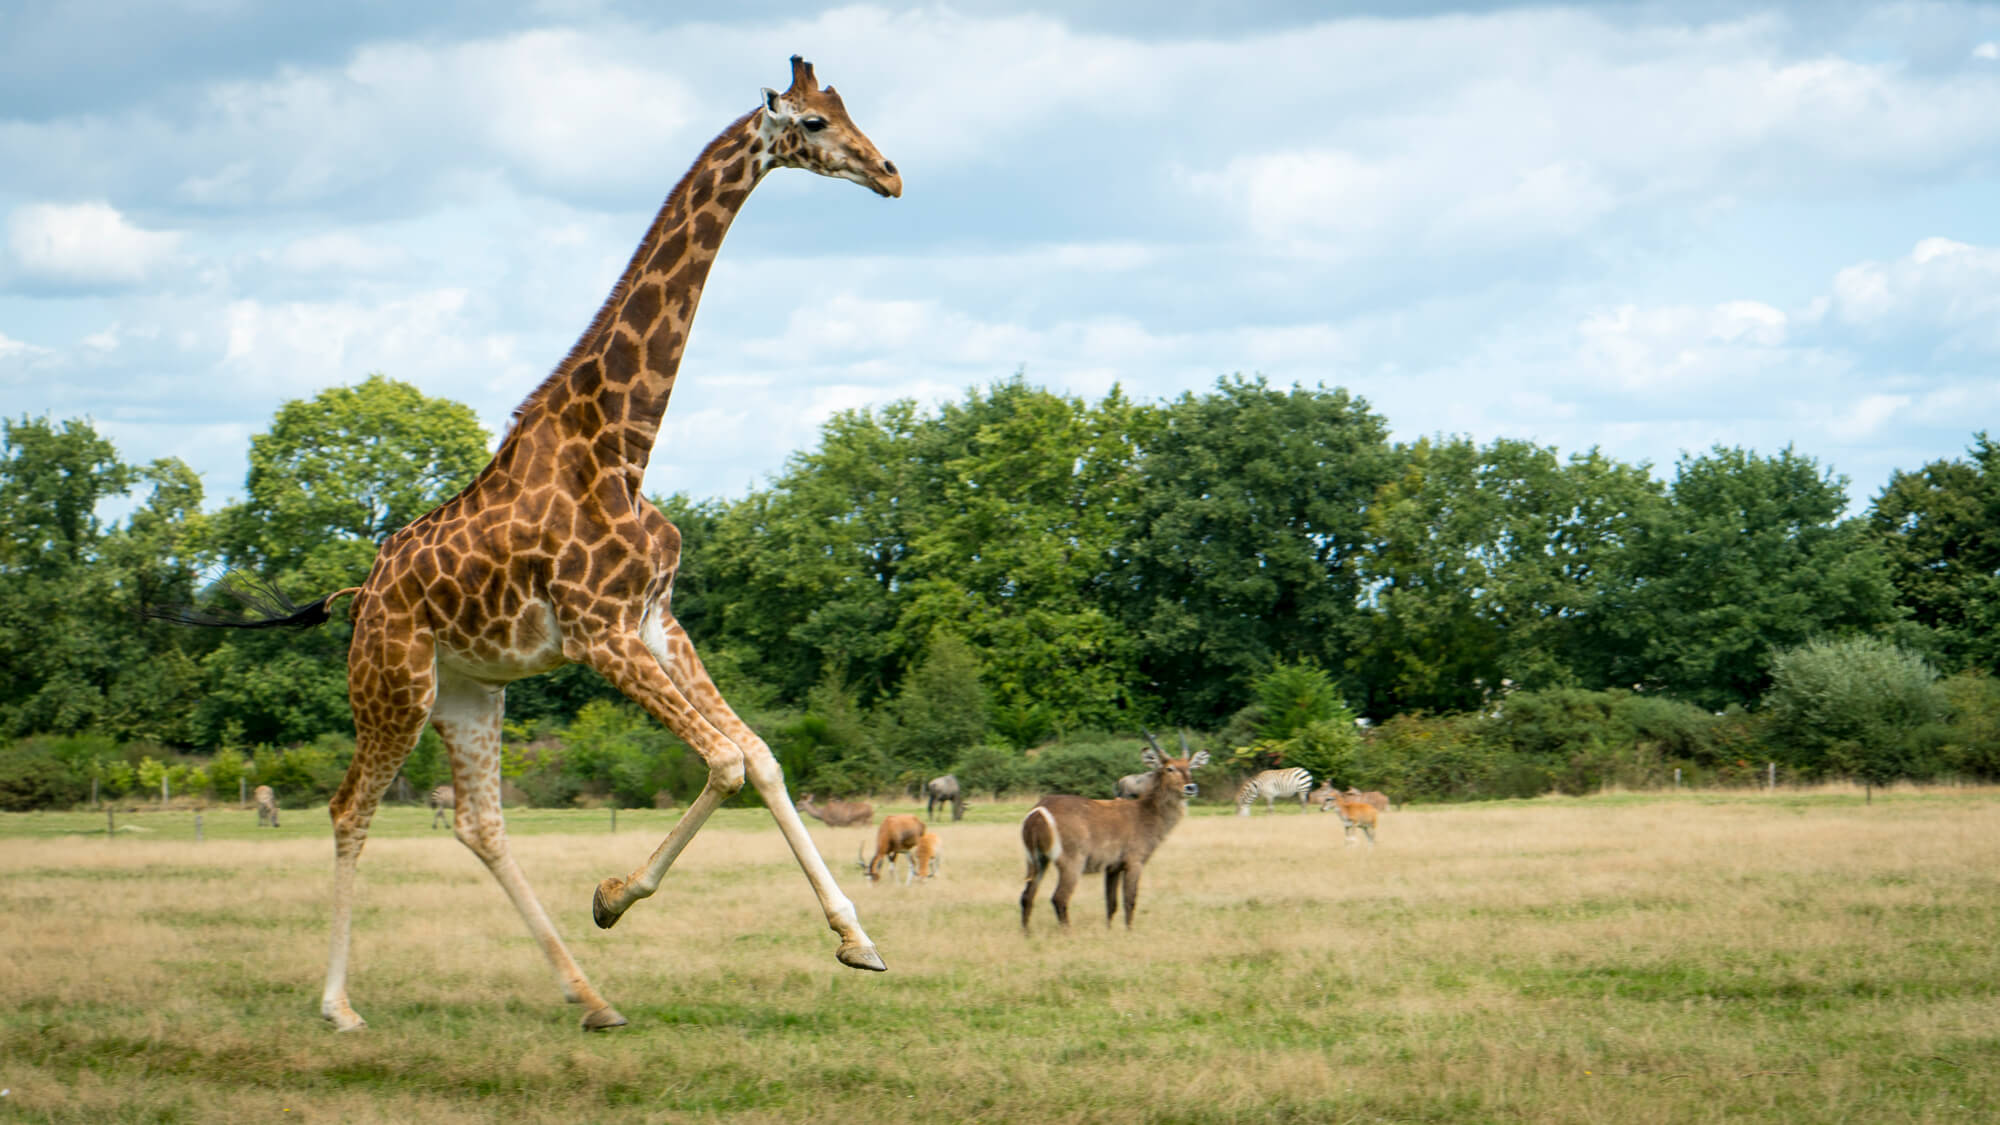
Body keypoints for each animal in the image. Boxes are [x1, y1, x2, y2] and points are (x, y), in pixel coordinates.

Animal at [174, 57, 908, 1032]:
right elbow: (724, 761)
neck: (622, 442)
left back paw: (590, 996)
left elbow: (759, 757)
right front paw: (613, 895)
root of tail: (358, 598)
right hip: (395, 687)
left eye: (846, 107)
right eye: (817, 124)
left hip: (469, 692)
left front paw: (857, 939)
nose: (891, 173)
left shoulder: (655, 620)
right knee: (347, 807)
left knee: (478, 823)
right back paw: (338, 1005)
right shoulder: (600, 633)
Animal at [1016, 732, 1200, 924]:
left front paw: (1110, 929)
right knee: (1059, 898)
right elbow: (1129, 901)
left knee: (1027, 896)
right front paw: (1129, 931)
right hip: (1071, 861)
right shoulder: (1134, 862)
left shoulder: (1112, 867)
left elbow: (1111, 904)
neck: (1145, 813)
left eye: (1190, 767)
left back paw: (1027, 931)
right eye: (1169, 768)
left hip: (1036, 860)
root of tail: (1038, 811)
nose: (1191, 787)